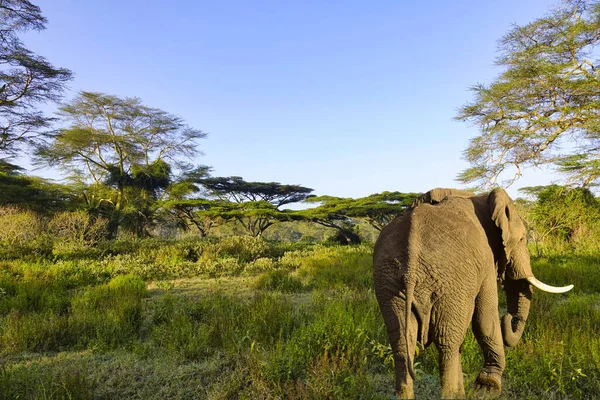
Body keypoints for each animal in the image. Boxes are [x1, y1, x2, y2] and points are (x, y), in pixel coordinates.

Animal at [372, 189, 576, 398]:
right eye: (521, 240)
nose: (508, 317)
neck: (482, 197)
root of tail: (410, 268)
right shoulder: (485, 259)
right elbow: (485, 317)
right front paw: (488, 388)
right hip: (450, 281)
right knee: (447, 342)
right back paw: (454, 395)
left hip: (389, 283)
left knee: (402, 343)